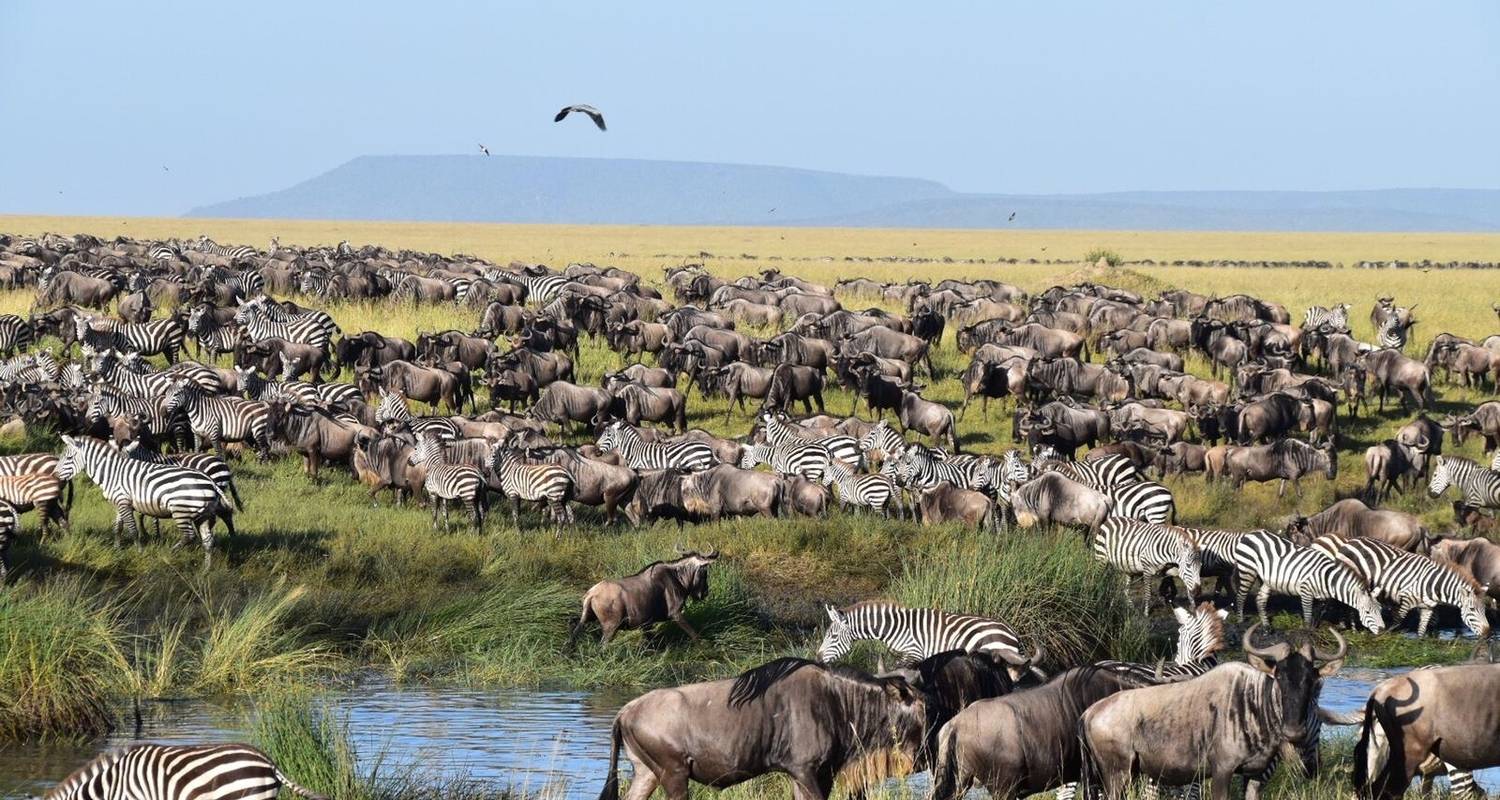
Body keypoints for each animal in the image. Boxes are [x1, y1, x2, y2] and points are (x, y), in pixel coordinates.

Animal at [54, 435, 231, 561]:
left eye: (68, 459)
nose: (54, 476)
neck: (112, 472)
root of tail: (210, 481)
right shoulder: (120, 502)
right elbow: (118, 527)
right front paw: (117, 549)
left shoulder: (124, 502)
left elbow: (132, 529)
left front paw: (139, 552)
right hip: (203, 514)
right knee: (208, 540)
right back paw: (206, 569)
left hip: (181, 511)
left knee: (189, 536)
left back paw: (170, 553)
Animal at [1224, 528, 1386, 633]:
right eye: (1367, 612)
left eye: (1380, 610)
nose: (1383, 630)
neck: (1327, 578)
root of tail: (1251, 533)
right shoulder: (1306, 591)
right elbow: (1308, 615)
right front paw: (1308, 635)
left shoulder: (1323, 598)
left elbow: (1318, 612)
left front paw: (1317, 628)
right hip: (1247, 569)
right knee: (1241, 596)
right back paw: (1240, 621)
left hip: (1266, 578)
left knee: (1260, 599)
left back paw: (1266, 626)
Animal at [1326, 537, 1488, 636]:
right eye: (1472, 609)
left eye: (1484, 610)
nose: (1487, 633)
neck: (1431, 584)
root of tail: (1351, 541)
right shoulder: (1405, 599)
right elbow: (1398, 620)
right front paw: (1389, 637)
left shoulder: (1427, 607)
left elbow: (1422, 629)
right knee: (1345, 604)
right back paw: (1350, 628)